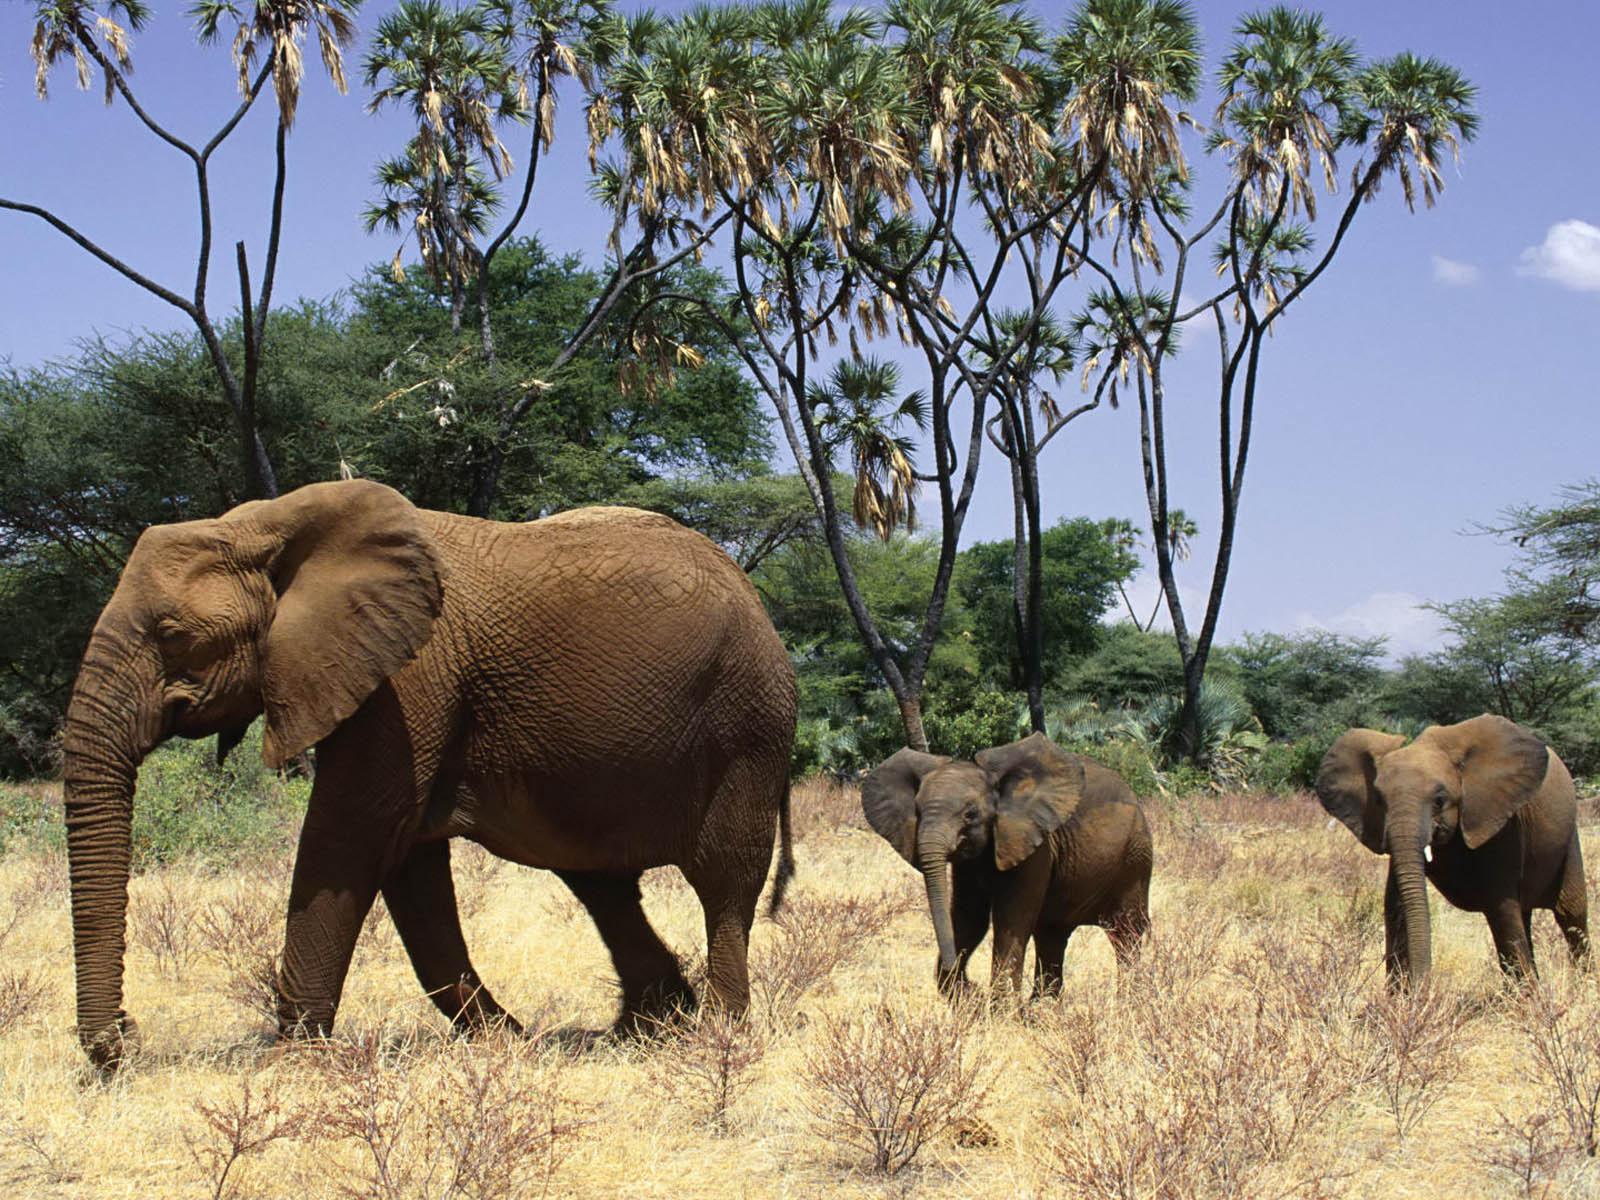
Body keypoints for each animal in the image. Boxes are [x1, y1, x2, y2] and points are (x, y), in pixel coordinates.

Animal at [61, 480, 797, 1068]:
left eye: (172, 634)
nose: (122, 1038)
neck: (263, 525)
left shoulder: (410, 676)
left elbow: (351, 836)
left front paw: (290, 1062)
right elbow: (409, 867)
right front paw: (505, 1043)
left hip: (748, 724)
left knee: (723, 880)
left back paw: (718, 1032)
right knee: (600, 883)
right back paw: (648, 1026)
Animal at [861, 732, 1152, 1001]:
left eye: (970, 814)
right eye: (918, 811)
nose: (970, 985)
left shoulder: (1034, 843)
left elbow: (1011, 919)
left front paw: (999, 1009)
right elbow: (969, 918)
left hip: (1136, 860)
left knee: (1126, 934)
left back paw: (1129, 1002)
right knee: (1052, 936)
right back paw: (1042, 1008)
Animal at [1317, 714, 1589, 983]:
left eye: (1439, 800)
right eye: (1379, 801)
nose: (1423, 985)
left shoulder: (1502, 822)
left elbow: (1501, 907)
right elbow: (1395, 906)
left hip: (1569, 838)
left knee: (1570, 914)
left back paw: (1583, 982)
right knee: (1526, 915)